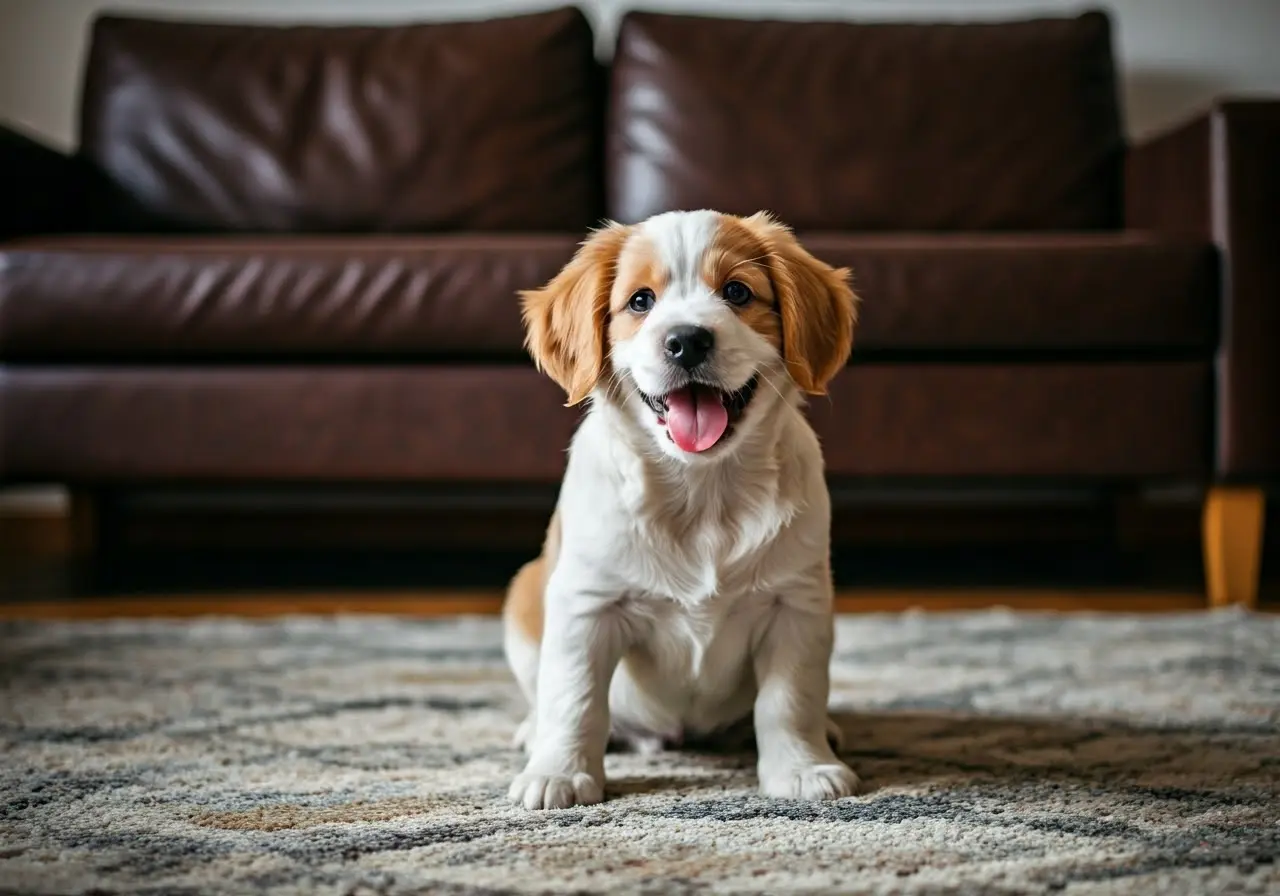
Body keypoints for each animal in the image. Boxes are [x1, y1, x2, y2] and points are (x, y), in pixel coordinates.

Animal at [504, 209, 855, 814]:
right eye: (640, 301)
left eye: (737, 292)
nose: (686, 341)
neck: (701, 491)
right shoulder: (586, 605)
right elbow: (575, 697)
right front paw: (558, 773)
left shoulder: (797, 605)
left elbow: (790, 699)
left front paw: (804, 768)